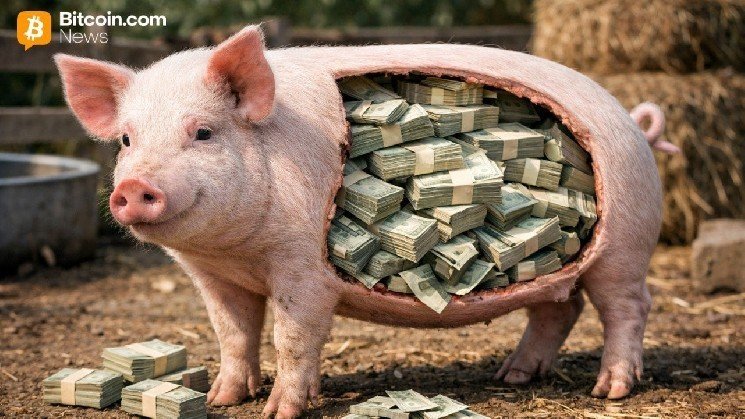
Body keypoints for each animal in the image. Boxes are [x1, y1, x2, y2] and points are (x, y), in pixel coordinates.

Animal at [55, 25, 672, 418]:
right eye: (126, 140)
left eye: (204, 132)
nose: (133, 187)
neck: (238, 254)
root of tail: (630, 119)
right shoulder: (213, 277)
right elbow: (233, 335)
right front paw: (221, 401)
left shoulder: (302, 267)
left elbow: (292, 336)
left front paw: (278, 412)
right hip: (574, 268)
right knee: (558, 308)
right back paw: (513, 377)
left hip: (625, 245)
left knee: (627, 308)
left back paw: (610, 393)